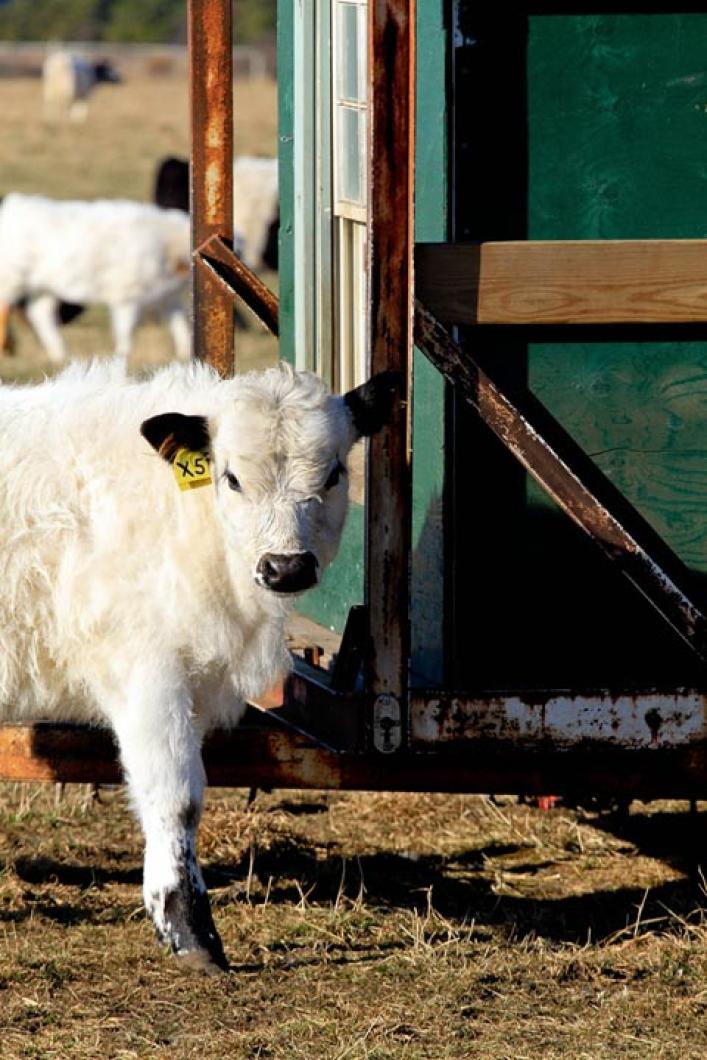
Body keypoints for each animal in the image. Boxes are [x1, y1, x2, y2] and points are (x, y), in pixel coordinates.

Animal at [0, 357, 397, 970]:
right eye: (230, 478)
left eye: (334, 474)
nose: (285, 567)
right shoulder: (146, 673)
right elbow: (176, 796)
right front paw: (191, 929)